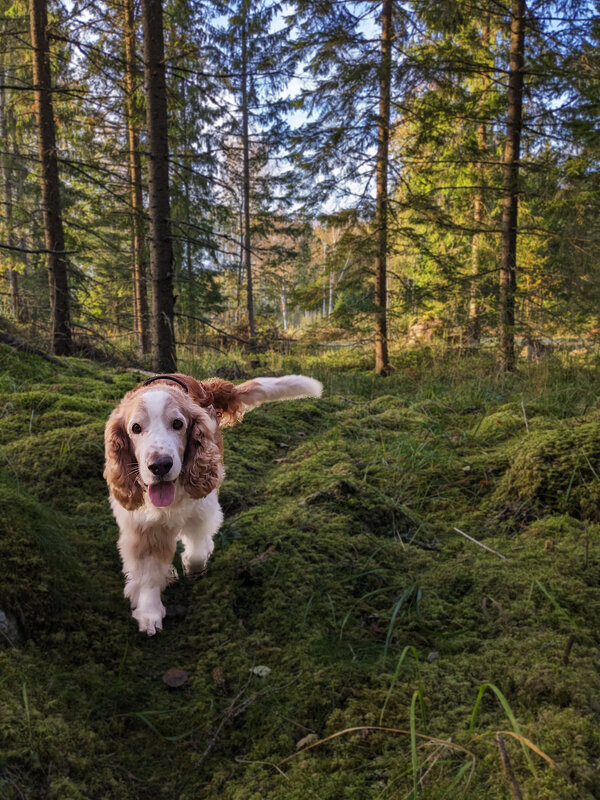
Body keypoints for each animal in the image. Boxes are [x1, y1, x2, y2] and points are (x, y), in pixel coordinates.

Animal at [105, 372, 322, 636]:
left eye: (178, 424)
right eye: (135, 428)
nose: (160, 465)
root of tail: (206, 385)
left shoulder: (202, 510)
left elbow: (198, 548)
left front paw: (193, 565)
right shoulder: (142, 525)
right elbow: (148, 572)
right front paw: (149, 612)